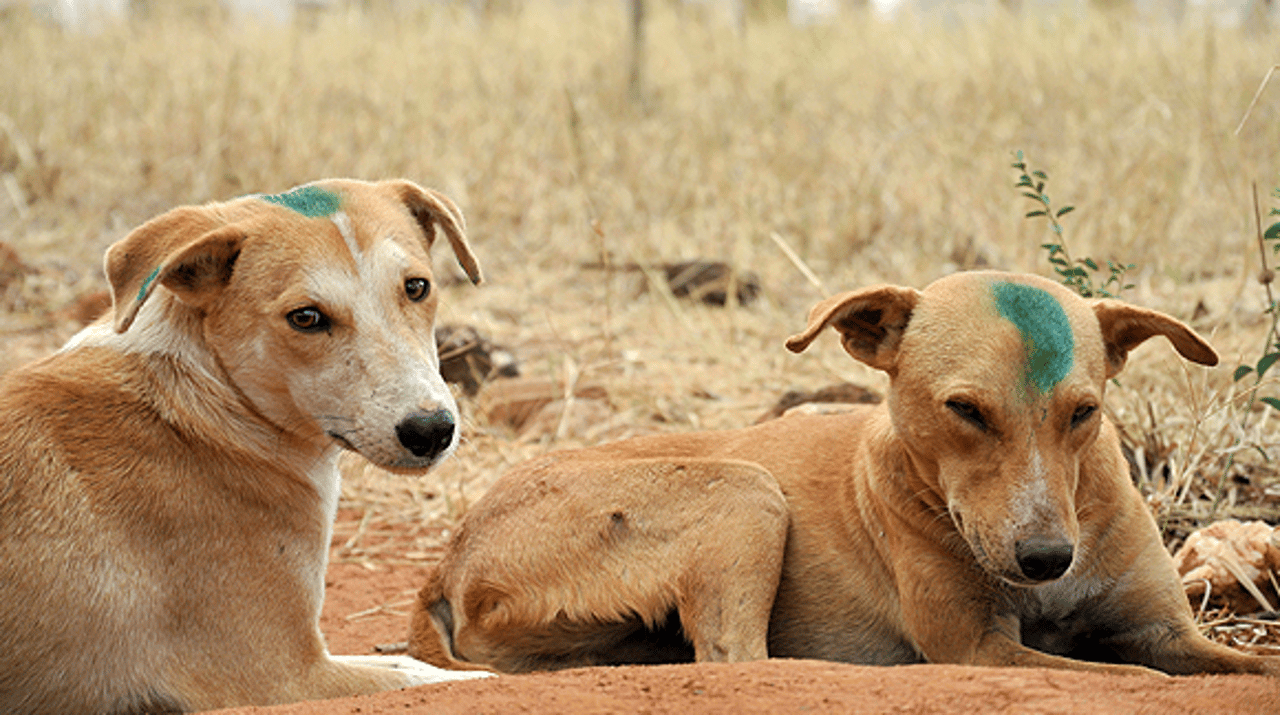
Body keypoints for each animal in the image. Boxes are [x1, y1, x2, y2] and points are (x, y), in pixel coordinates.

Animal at [0, 180, 494, 715]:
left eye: (417, 287)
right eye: (306, 317)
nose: (431, 430)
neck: (211, 403)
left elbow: (414, 662)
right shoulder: (289, 675)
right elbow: (437, 675)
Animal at [407, 269, 1280, 675]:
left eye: (1084, 412)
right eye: (965, 410)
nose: (1045, 559)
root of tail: (449, 555)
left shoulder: (1165, 631)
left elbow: (1241, 665)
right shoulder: (975, 647)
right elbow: (1115, 677)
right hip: (745, 489)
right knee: (737, 660)